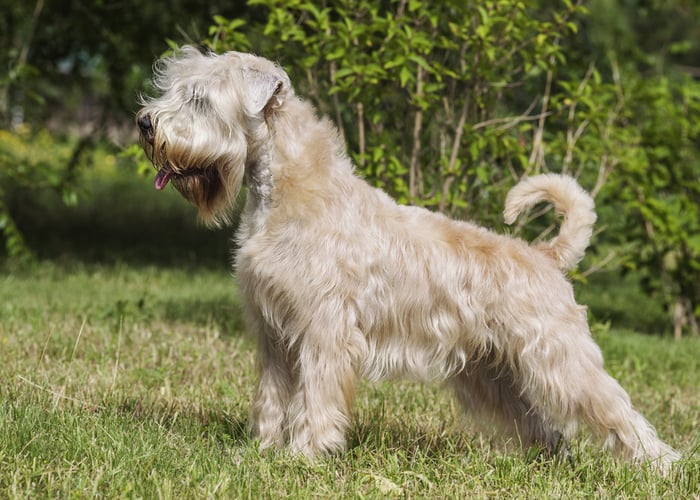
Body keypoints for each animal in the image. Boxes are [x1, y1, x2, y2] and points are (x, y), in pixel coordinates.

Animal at [135, 47, 680, 472]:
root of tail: (545, 256)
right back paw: (551, 465)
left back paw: (661, 467)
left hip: (561, 359)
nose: (145, 122)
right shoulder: (273, 332)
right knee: (544, 426)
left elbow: (316, 396)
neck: (286, 193)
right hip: (494, 373)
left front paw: (304, 455)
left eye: (200, 99)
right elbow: (272, 396)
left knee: (617, 412)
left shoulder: (323, 329)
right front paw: (262, 451)